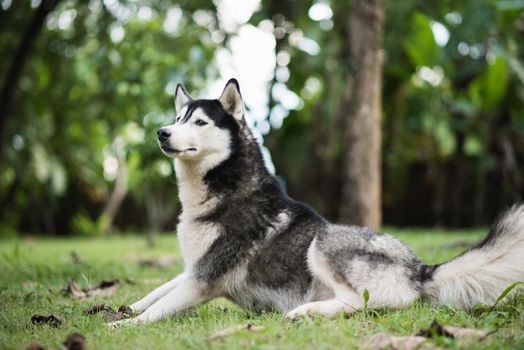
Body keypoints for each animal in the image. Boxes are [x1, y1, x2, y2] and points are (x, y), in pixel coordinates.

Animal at [107, 79, 524, 328]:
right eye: (177, 117)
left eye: (199, 123)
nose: (161, 132)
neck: (220, 192)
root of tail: (420, 269)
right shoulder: (196, 268)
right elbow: (156, 293)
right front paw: (124, 308)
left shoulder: (205, 278)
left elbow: (160, 308)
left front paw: (122, 325)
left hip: (325, 244)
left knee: (360, 302)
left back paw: (306, 311)